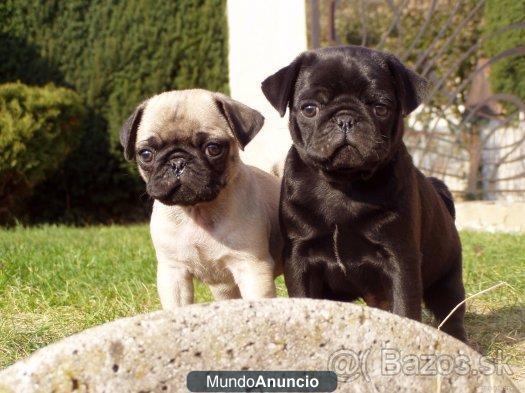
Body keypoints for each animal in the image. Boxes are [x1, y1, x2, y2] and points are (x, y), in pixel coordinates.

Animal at [119, 89, 282, 310]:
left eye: (213, 148)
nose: (177, 161)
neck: (197, 211)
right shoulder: (173, 272)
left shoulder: (252, 267)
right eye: (145, 154)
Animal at [262, 45, 466, 340]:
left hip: (447, 277)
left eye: (380, 108)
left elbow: (405, 307)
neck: (344, 184)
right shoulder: (299, 257)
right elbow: (303, 298)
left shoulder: (400, 259)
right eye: (310, 109)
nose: (346, 119)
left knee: (450, 311)